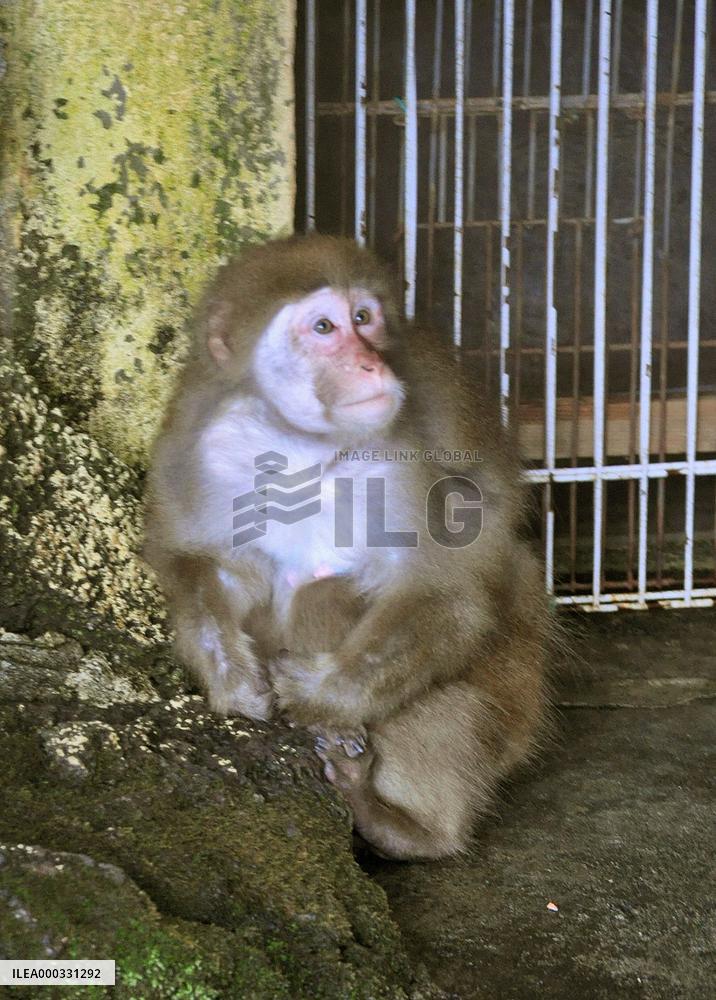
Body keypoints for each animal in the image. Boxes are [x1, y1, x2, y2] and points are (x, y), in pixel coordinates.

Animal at [144, 234, 550, 860]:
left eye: (364, 318)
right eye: (324, 326)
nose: (371, 364)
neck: (302, 444)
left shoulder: (399, 459)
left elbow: (446, 592)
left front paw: (316, 695)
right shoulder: (211, 449)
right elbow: (212, 568)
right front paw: (231, 678)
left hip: (510, 695)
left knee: (329, 595)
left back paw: (405, 827)